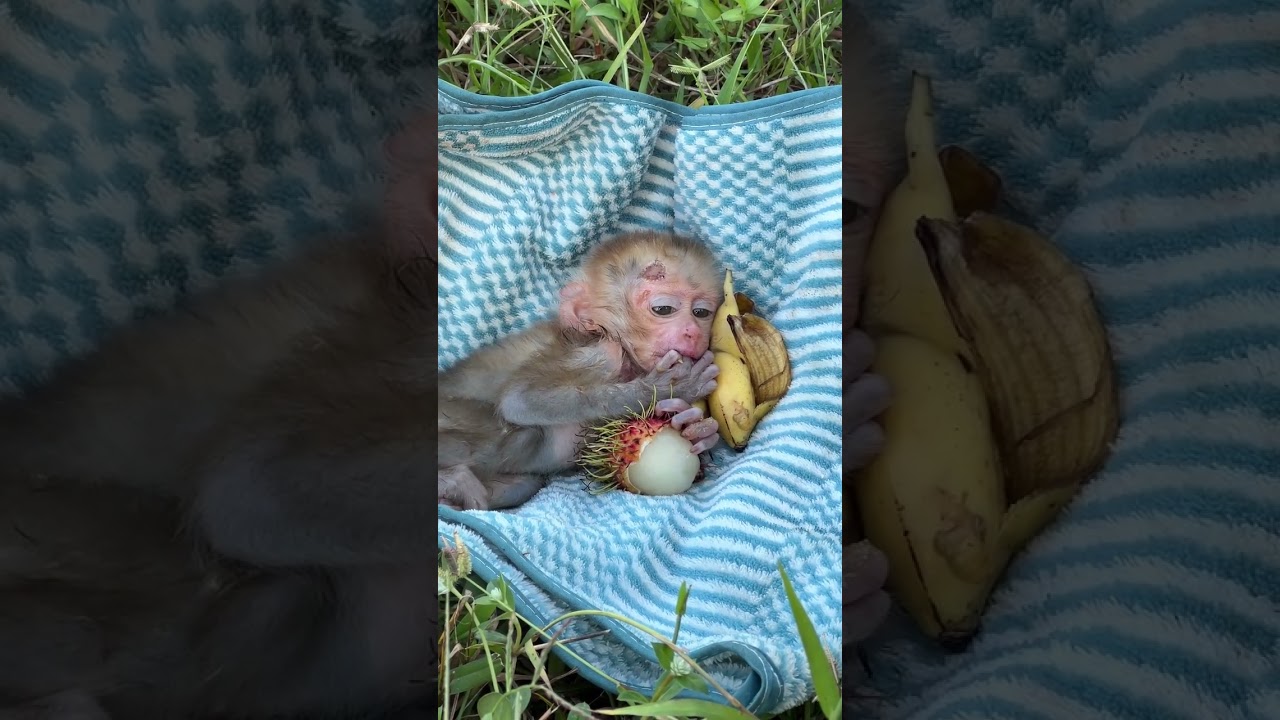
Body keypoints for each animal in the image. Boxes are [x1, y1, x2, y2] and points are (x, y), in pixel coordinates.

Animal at [437, 231, 725, 511]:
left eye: (701, 312)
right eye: (663, 309)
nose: (692, 332)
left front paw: (694, 425)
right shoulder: (601, 352)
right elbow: (519, 400)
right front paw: (670, 386)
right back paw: (453, 481)